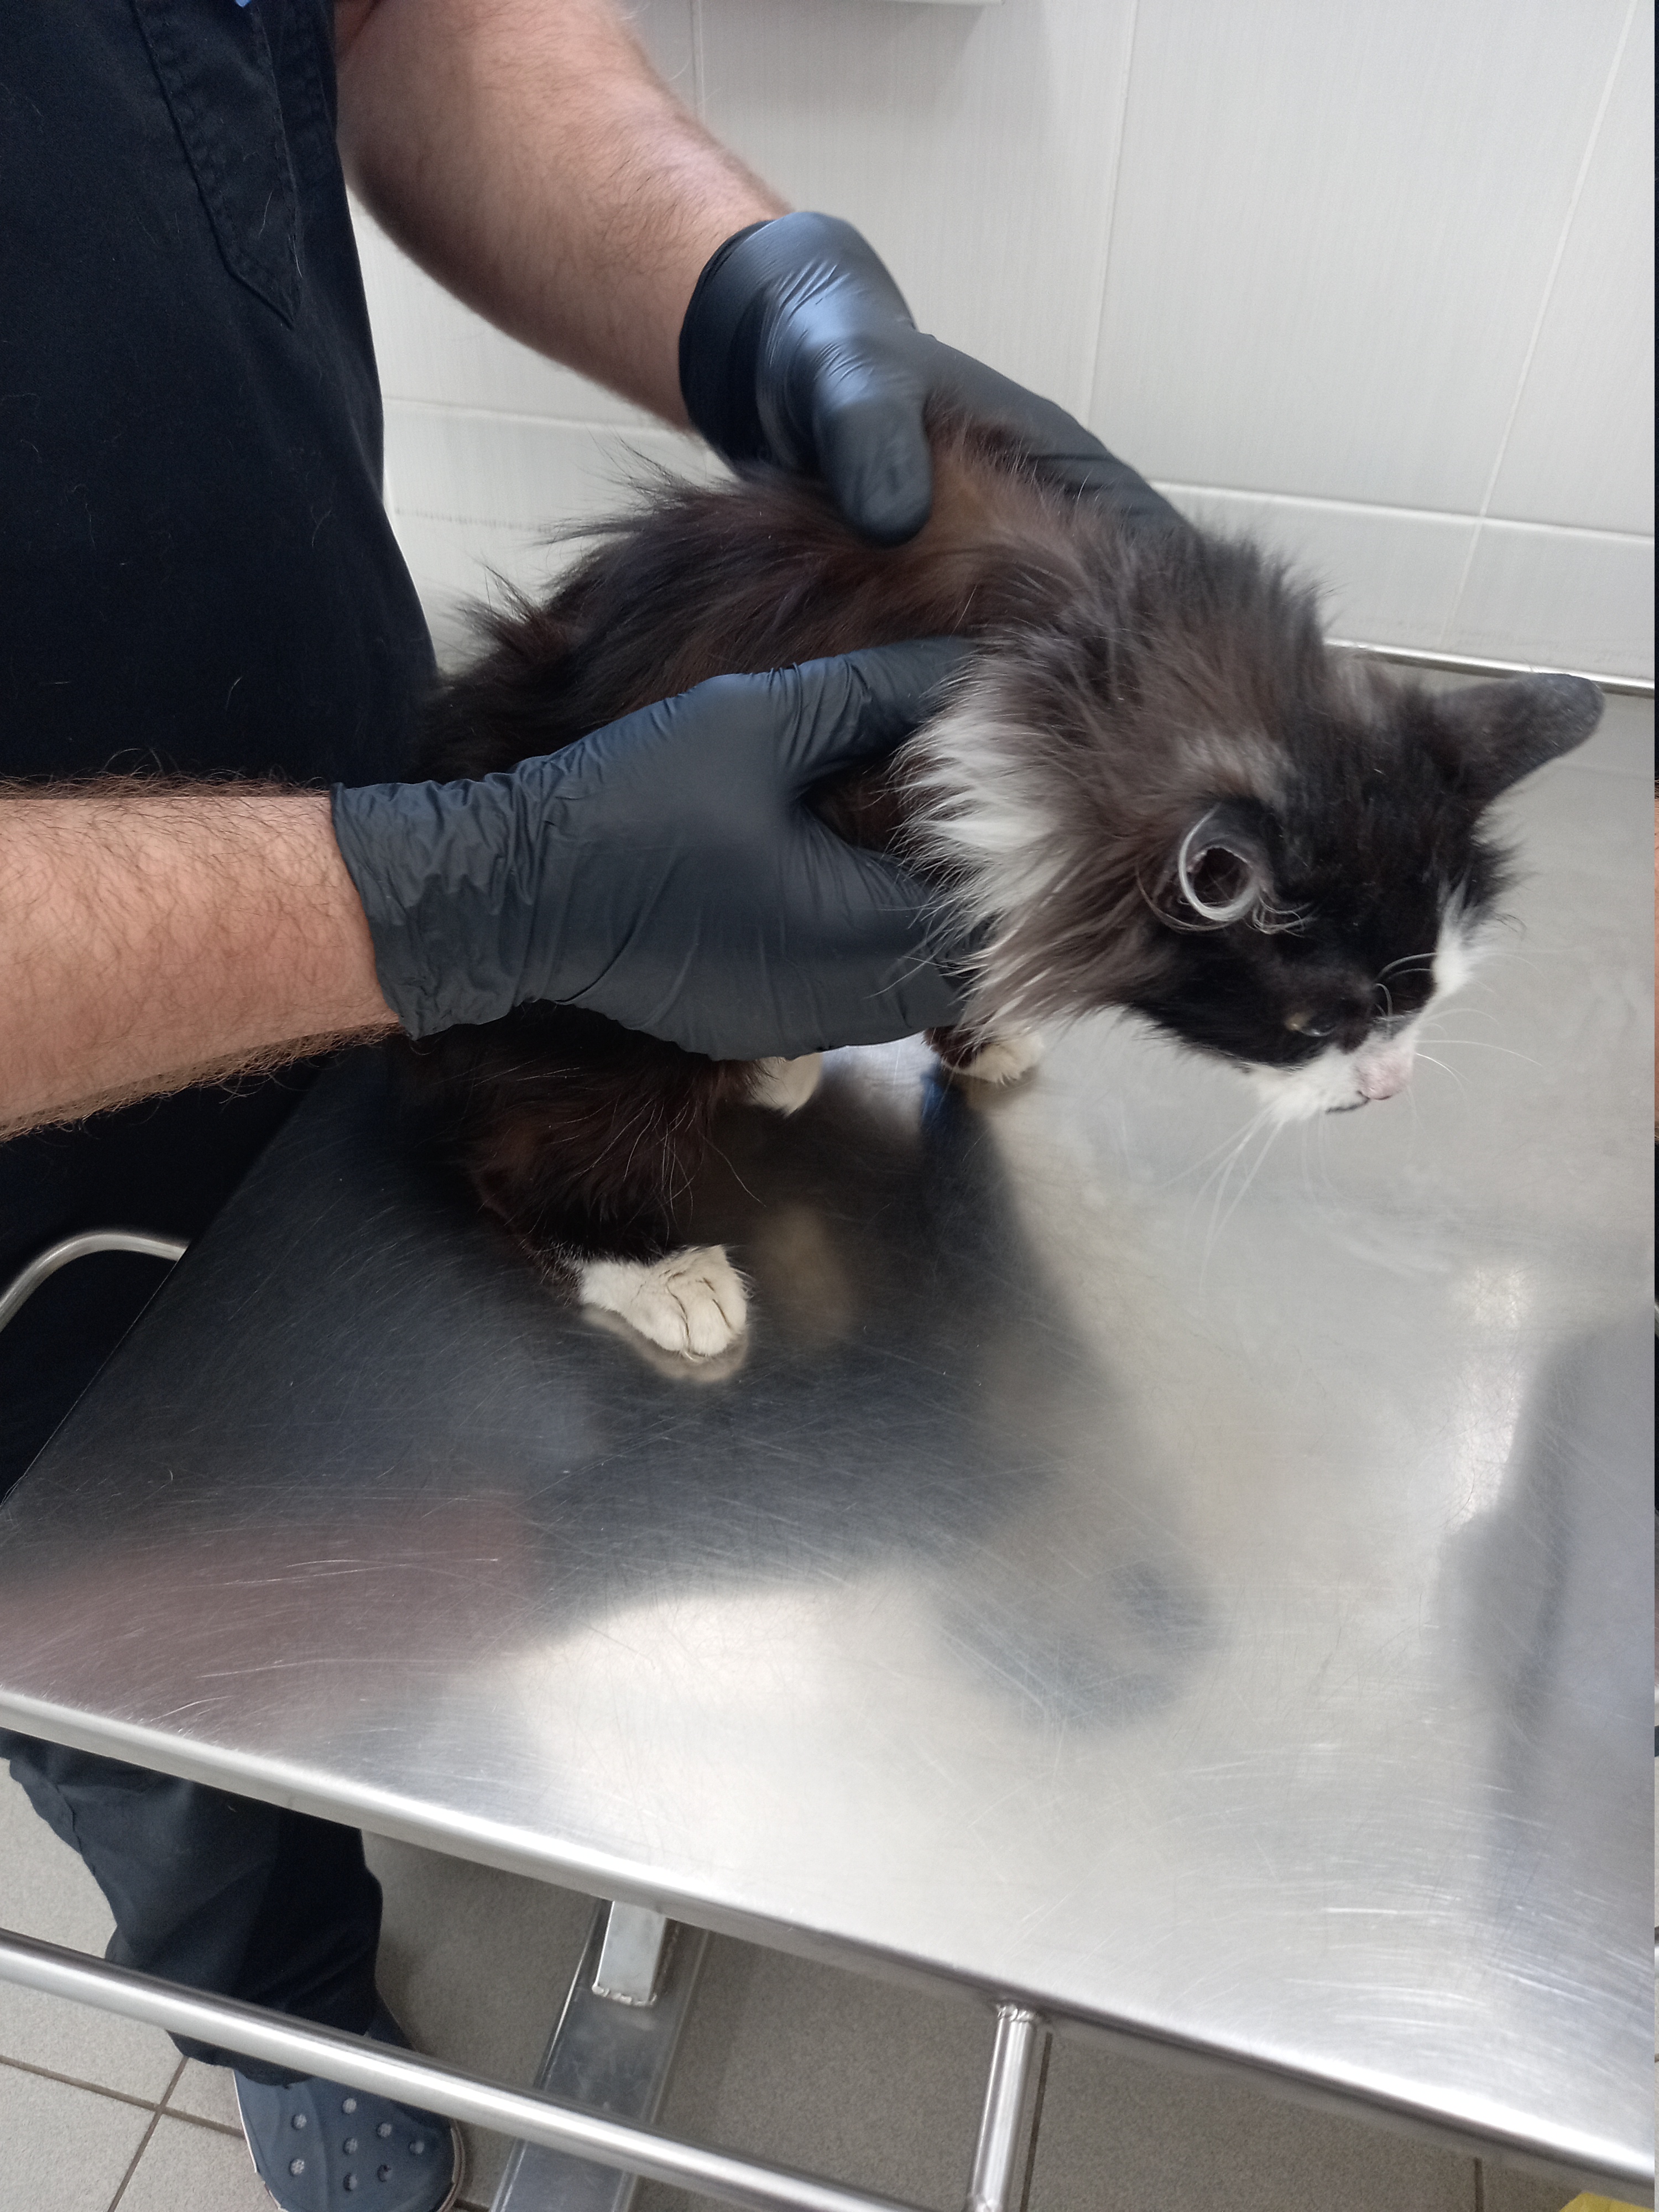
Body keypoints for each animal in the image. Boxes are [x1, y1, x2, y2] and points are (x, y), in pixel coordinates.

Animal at [403, 413, 1603, 1359]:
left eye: (1432, 1003)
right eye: (1319, 1026)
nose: (1389, 1085)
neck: (1093, 655)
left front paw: (981, 1038)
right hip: (612, 969)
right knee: (531, 1136)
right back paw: (653, 1261)